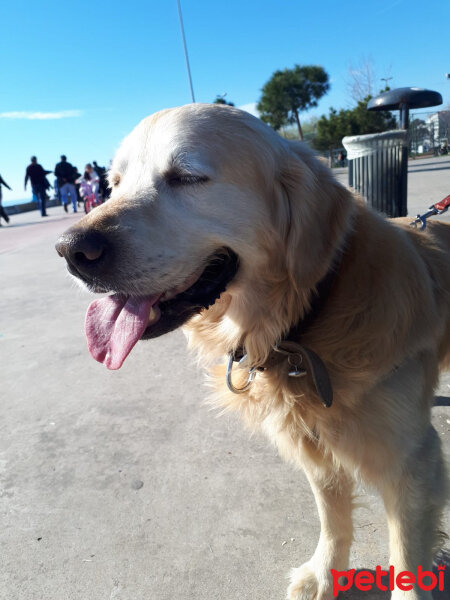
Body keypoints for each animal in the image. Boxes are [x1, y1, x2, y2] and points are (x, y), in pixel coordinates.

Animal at [54, 105, 448, 596]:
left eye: (187, 177)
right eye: (115, 183)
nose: (70, 250)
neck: (305, 318)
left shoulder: (414, 464)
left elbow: (407, 561)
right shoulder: (313, 444)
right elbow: (332, 519)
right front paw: (324, 574)